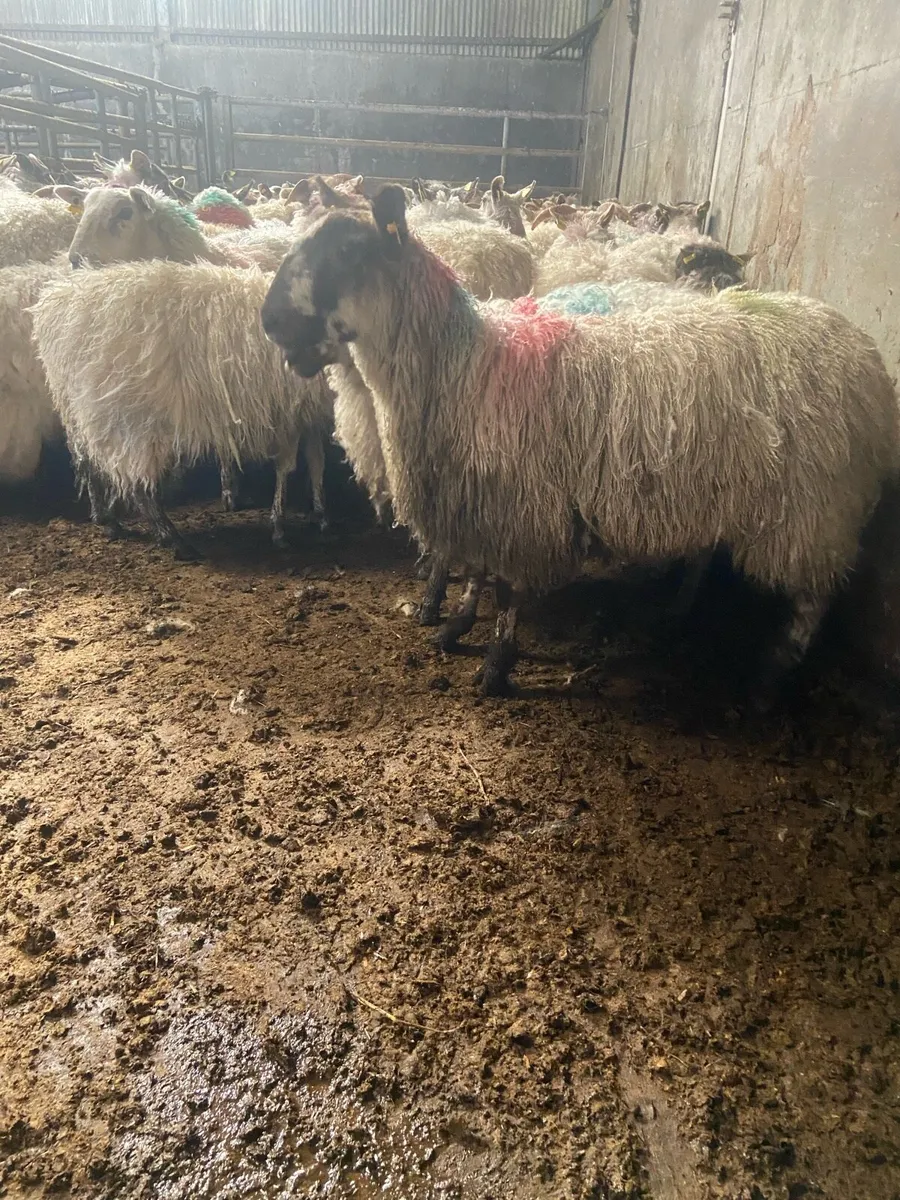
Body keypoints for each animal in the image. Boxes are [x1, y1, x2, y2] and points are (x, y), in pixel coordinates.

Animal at [32, 260, 332, 558]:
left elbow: (315, 461)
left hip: (88, 416)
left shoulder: (303, 413)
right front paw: (281, 527)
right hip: (129, 418)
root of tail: (59, 303)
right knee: (136, 482)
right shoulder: (291, 411)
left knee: (99, 466)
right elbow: (288, 467)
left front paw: (319, 515)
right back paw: (172, 539)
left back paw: (108, 518)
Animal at [261, 188, 900, 706]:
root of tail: (860, 347)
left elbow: (507, 588)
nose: (269, 322)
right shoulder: (481, 491)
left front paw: (494, 668)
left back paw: (769, 678)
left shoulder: (519, 504)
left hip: (816, 510)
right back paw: (680, 608)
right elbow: (478, 572)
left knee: (814, 600)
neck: (466, 364)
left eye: (348, 252)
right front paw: (454, 624)